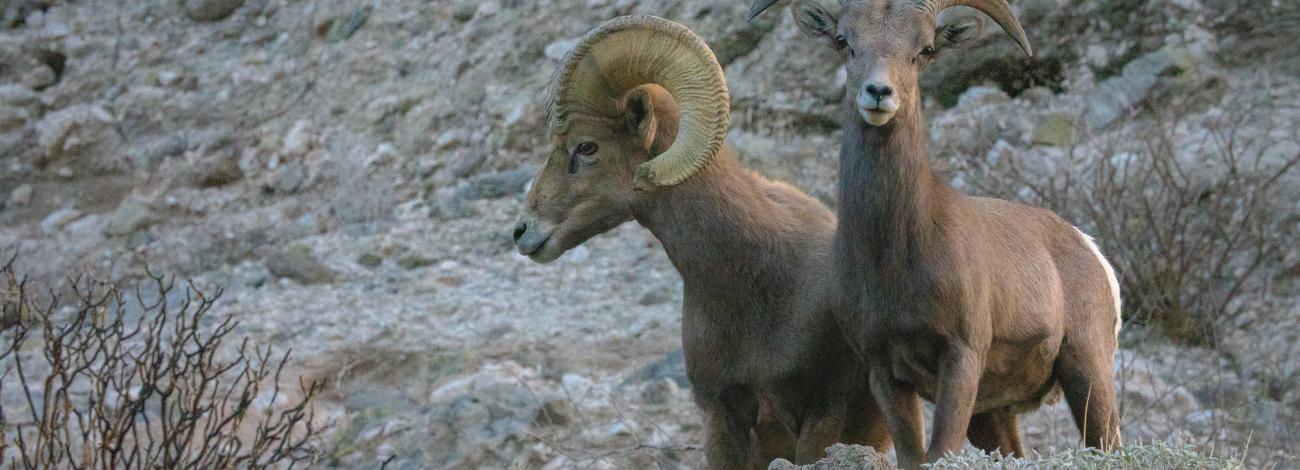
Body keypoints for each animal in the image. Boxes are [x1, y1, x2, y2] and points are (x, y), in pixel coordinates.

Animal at [748, 1, 1124, 468]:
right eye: (843, 41)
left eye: (924, 49)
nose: (879, 92)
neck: (895, 258)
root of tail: (1091, 251)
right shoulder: (885, 371)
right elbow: (913, 453)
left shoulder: (961, 359)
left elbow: (940, 449)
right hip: (993, 415)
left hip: (1087, 370)